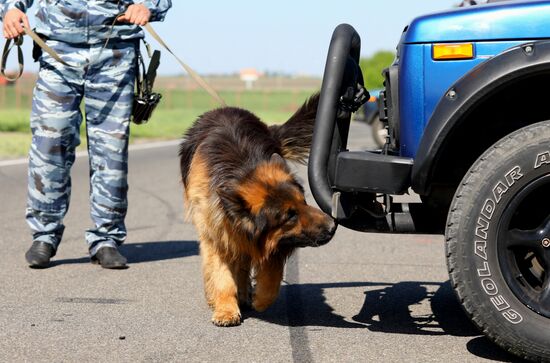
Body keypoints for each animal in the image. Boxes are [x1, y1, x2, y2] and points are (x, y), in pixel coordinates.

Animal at [181, 95, 336, 328]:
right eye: (290, 216)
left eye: (304, 202)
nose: (333, 226)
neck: (242, 171)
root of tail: (225, 108)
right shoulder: (217, 233)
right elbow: (221, 276)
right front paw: (226, 309)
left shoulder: (273, 241)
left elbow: (272, 274)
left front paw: (261, 299)